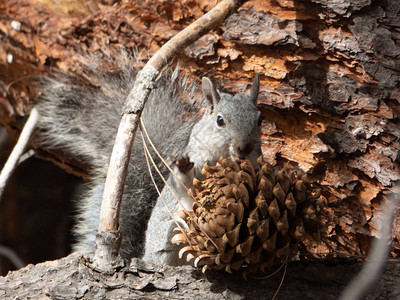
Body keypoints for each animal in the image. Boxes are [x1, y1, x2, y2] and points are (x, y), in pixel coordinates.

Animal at [35, 54, 262, 264]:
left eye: (259, 120)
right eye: (220, 120)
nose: (244, 148)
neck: (222, 158)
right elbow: (183, 184)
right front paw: (184, 168)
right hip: (170, 236)